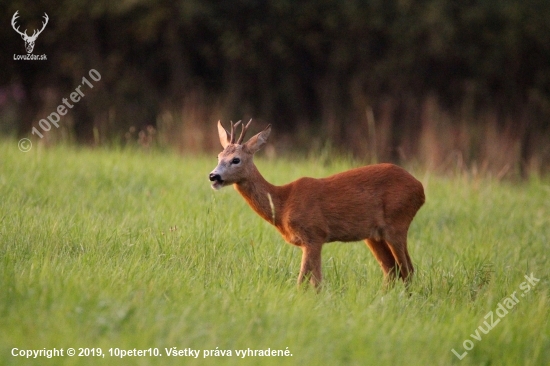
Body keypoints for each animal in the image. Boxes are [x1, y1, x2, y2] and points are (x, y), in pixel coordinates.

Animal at [209, 120, 430, 288]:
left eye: (236, 159)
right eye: (219, 156)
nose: (213, 176)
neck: (283, 203)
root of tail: (420, 189)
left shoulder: (314, 234)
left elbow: (306, 282)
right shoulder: (313, 240)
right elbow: (317, 281)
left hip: (397, 223)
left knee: (407, 269)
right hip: (373, 235)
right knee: (392, 270)